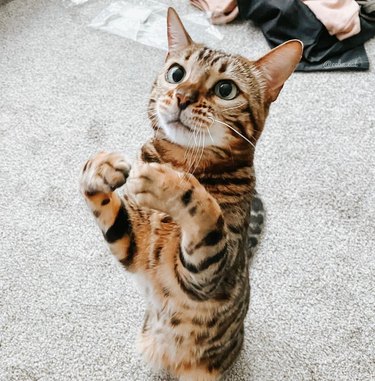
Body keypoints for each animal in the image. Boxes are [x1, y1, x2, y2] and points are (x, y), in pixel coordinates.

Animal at [79, 7, 302, 378]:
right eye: (176, 73)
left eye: (225, 89)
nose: (182, 96)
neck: (182, 159)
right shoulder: (133, 250)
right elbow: (107, 208)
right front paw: (100, 168)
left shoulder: (207, 275)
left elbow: (205, 211)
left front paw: (168, 183)